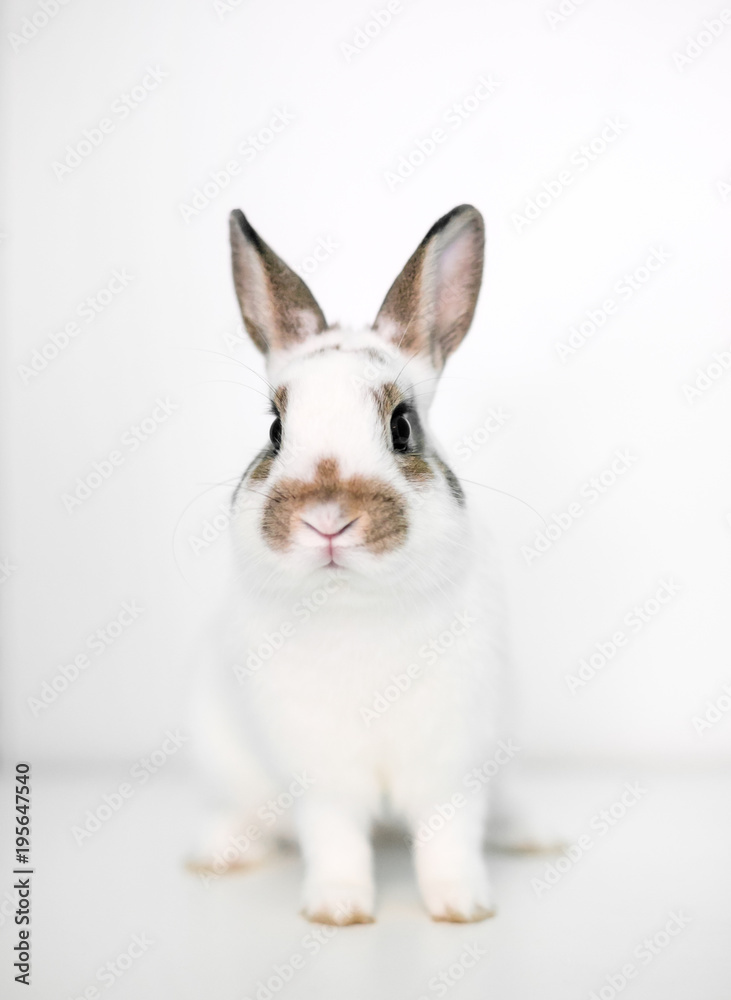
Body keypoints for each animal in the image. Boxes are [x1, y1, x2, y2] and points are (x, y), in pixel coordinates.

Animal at [191, 204, 510, 925]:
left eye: (402, 426)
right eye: (275, 430)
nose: (328, 518)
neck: (352, 607)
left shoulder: (454, 764)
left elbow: (449, 836)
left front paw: (460, 907)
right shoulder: (319, 776)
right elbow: (334, 838)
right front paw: (338, 910)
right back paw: (216, 852)